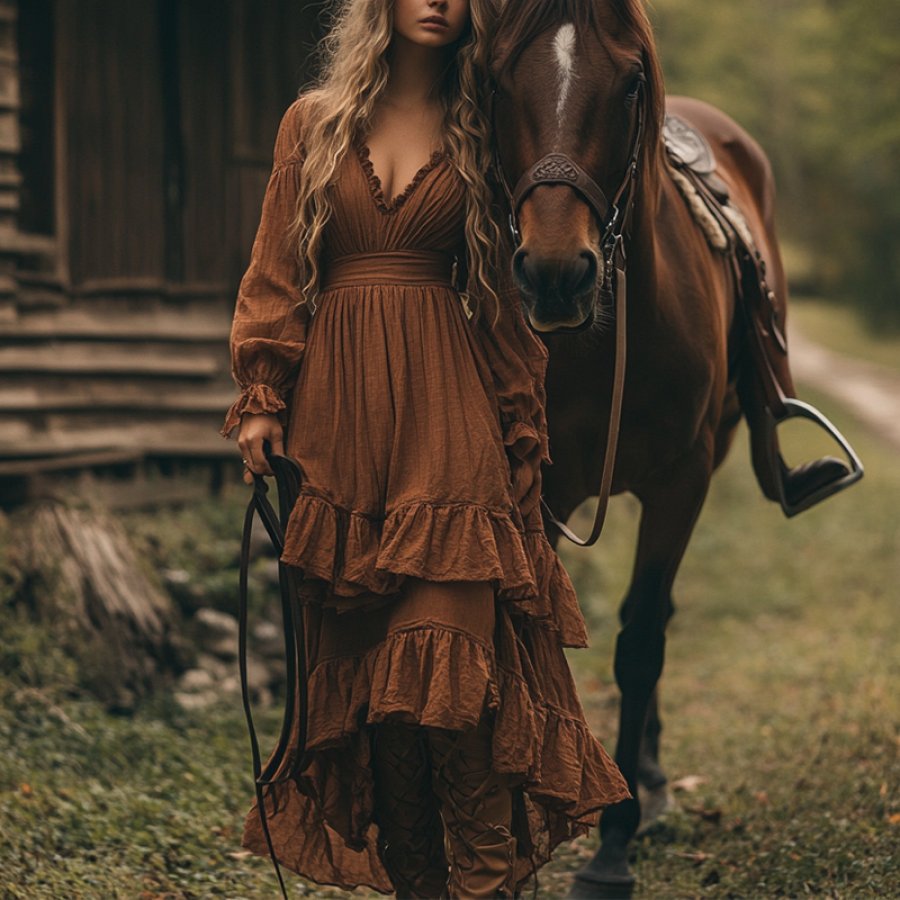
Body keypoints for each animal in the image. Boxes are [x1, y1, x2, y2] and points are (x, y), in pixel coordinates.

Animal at [488, 0, 860, 892]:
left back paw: (651, 784)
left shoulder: (680, 480)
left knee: (655, 619)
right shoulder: (543, 494)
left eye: (629, 84)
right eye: (498, 79)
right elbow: (544, 635)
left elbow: (641, 641)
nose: (556, 273)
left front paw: (613, 844)